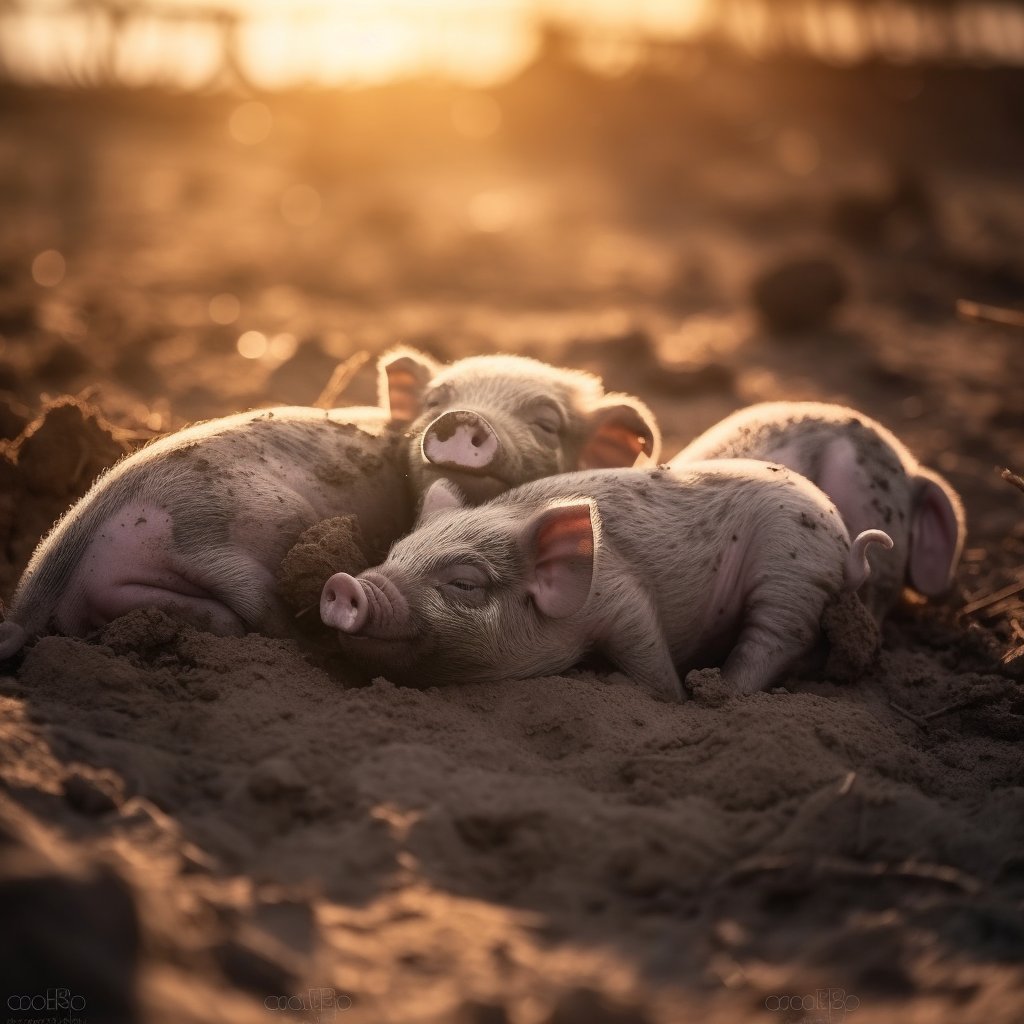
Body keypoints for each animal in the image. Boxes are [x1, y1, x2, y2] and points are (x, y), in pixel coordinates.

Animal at [319, 461, 893, 699]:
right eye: (393, 554)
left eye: (464, 583)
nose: (345, 583)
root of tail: (840, 532)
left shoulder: (619, 595)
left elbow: (646, 653)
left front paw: (673, 698)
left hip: (790, 571)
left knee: (775, 638)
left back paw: (720, 692)